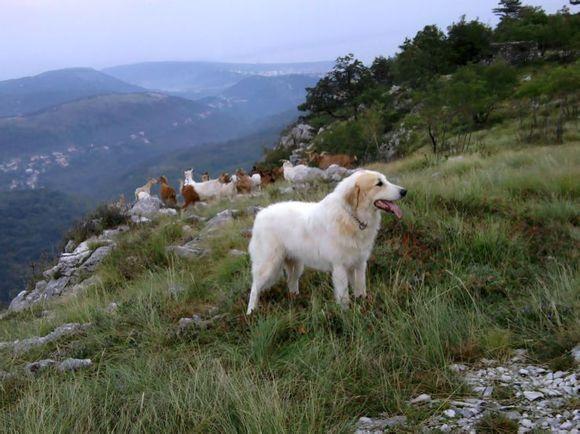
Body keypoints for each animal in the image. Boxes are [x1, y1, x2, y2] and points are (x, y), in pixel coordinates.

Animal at [247, 168, 406, 314]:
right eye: (379, 184)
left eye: (385, 180)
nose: (404, 191)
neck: (352, 218)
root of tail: (261, 213)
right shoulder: (340, 267)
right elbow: (344, 296)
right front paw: (346, 315)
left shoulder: (359, 264)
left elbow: (361, 289)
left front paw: (363, 305)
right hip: (268, 265)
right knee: (254, 288)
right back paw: (251, 313)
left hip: (296, 265)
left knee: (291, 282)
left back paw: (295, 299)